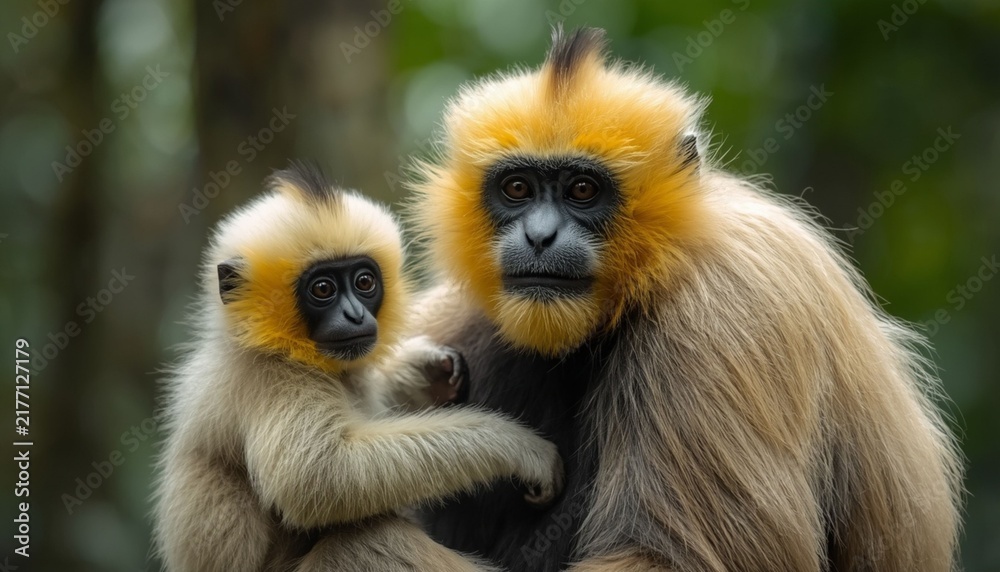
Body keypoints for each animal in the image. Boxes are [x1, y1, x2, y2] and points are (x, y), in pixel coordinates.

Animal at [153, 162, 565, 572]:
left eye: (364, 282)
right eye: (323, 290)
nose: (355, 314)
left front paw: (423, 369)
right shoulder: (274, 374)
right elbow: (316, 478)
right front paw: (521, 448)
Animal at [407, 27, 963, 572]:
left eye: (583, 190)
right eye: (517, 188)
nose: (539, 237)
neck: (651, 269)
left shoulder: (724, 305)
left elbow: (671, 559)